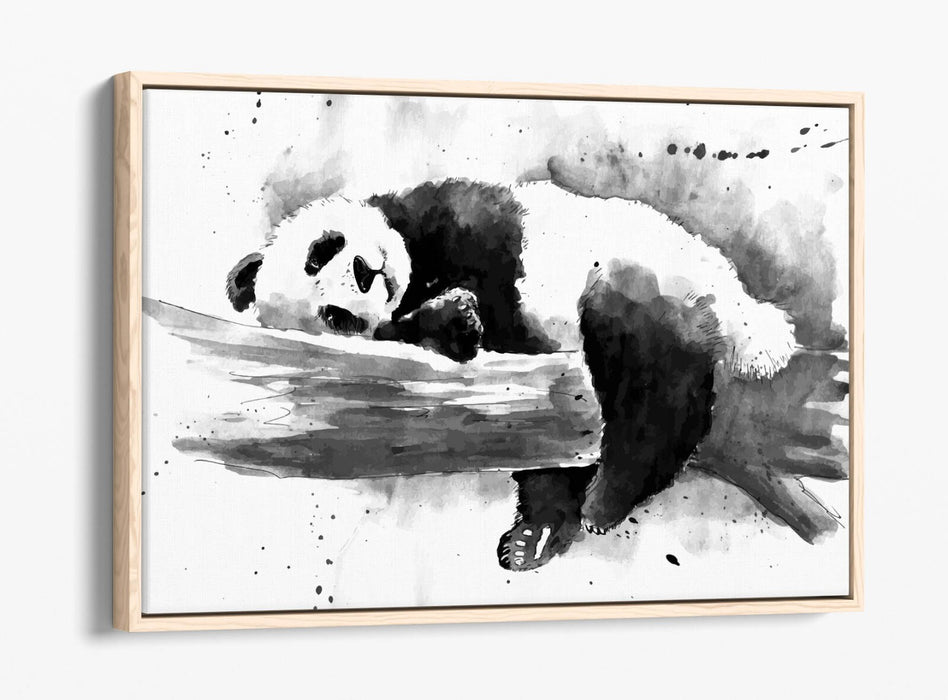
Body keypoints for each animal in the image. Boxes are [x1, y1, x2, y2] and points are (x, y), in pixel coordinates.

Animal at [226, 179, 795, 571]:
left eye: (322, 250)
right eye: (336, 318)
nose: (368, 274)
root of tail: (735, 309)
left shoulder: (447, 216)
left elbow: (486, 249)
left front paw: (461, 309)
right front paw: (453, 322)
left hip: (645, 270)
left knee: (649, 374)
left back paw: (608, 494)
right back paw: (540, 532)